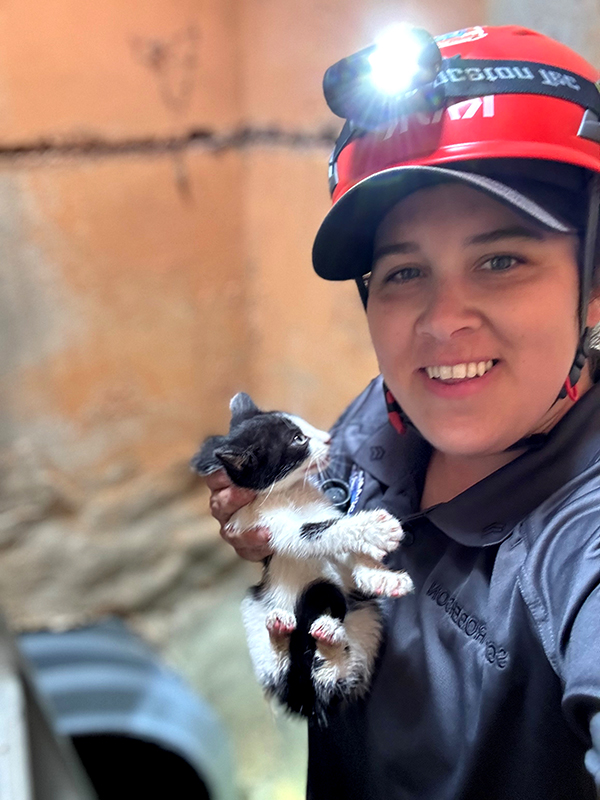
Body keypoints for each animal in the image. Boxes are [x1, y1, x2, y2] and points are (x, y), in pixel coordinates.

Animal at [192, 392, 412, 720]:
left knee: (336, 678)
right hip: (254, 606)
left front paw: (379, 577)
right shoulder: (275, 529)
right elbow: (323, 531)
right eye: (298, 439)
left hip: (366, 616)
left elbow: (343, 546)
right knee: (284, 676)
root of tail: (305, 700)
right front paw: (374, 528)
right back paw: (281, 634)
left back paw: (329, 639)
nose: (330, 438)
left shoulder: (322, 511)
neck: (290, 492)